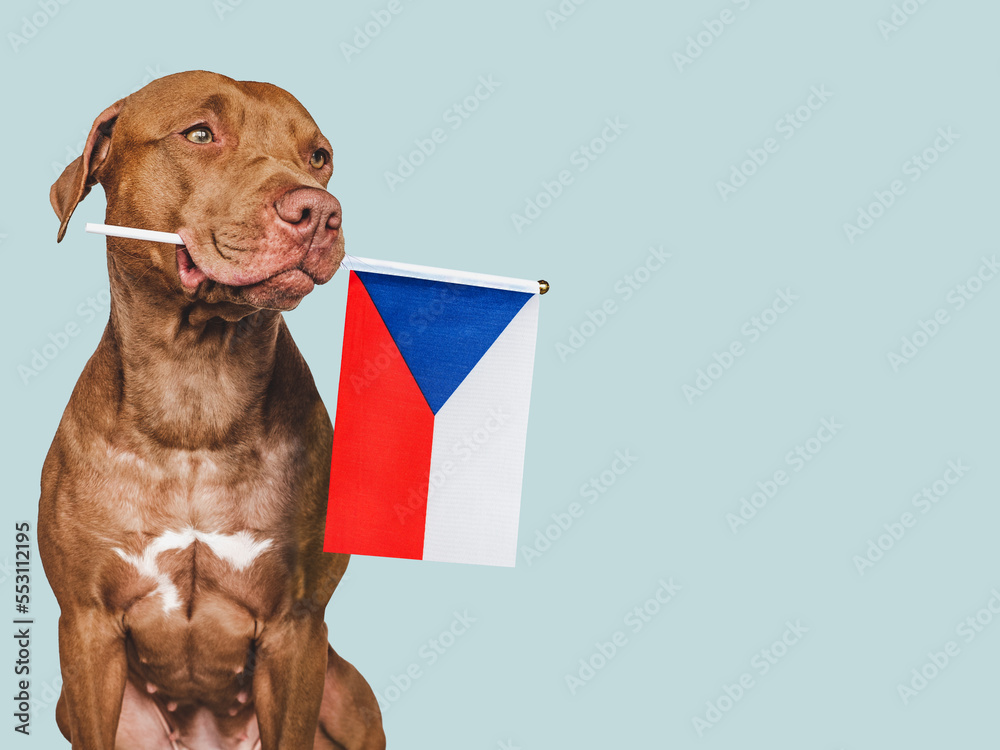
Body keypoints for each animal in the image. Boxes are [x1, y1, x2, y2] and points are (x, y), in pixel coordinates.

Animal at [37, 72, 386, 750]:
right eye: (200, 134)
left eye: (319, 157)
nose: (319, 212)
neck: (196, 393)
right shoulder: (87, 629)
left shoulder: (296, 629)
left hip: (348, 696)